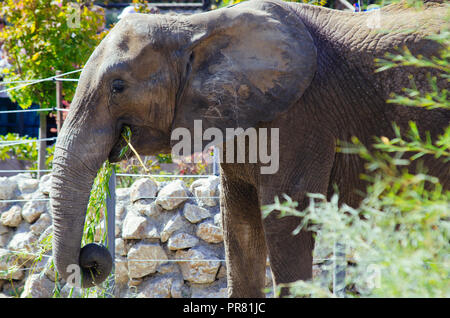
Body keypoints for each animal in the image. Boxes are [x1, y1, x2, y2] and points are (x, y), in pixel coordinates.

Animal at [51, 0, 448, 296]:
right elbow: (238, 223)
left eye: (118, 87)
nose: (92, 256)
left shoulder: (301, 117)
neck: (193, 27)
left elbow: (286, 221)